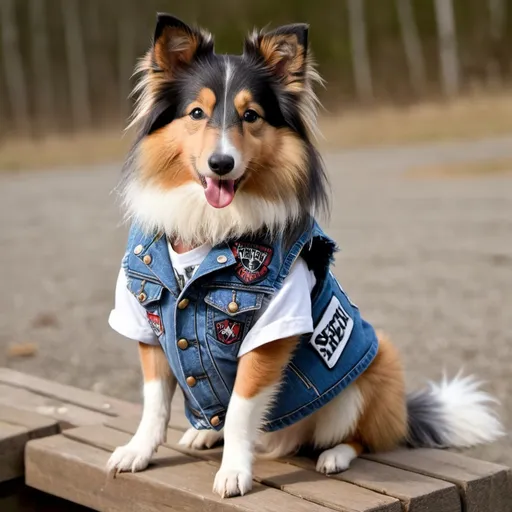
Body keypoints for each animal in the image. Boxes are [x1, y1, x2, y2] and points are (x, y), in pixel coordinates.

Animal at [107, 14, 504, 498]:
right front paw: (138, 451)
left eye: (251, 116)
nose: (221, 164)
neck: (210, 227)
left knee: (361, 438)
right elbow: (154, 403)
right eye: (196, 113)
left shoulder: (270, 332)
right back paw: (206, 433)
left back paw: (334, 456)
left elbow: (239, 410)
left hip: (372, 373)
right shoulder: (147, 319)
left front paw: (233, 472)